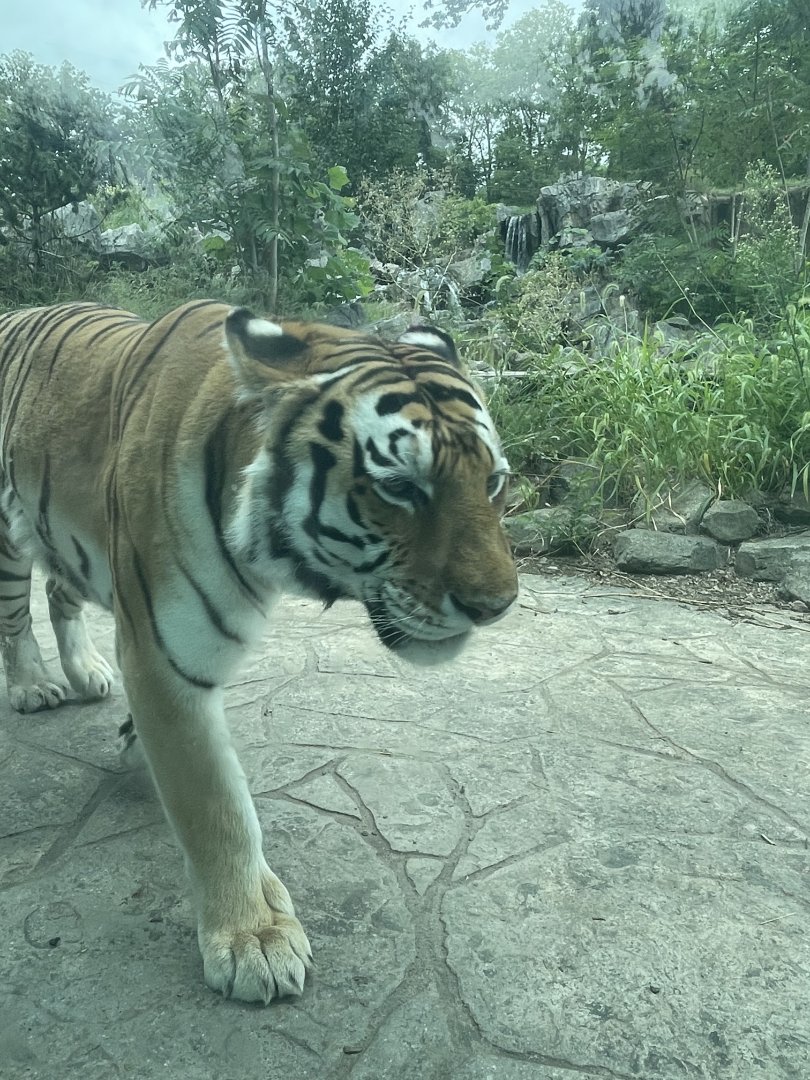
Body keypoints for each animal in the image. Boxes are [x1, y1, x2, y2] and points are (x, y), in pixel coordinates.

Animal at [0, 299, 518, 1004]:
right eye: (400, 487)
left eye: (493, 482)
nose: (498, 604)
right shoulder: (164, 659)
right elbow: (216, 805)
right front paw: (254, 937)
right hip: (8, 539)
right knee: (15, 614)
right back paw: (33, 684)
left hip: (69, 538)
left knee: (58, 589)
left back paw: (86, 674)